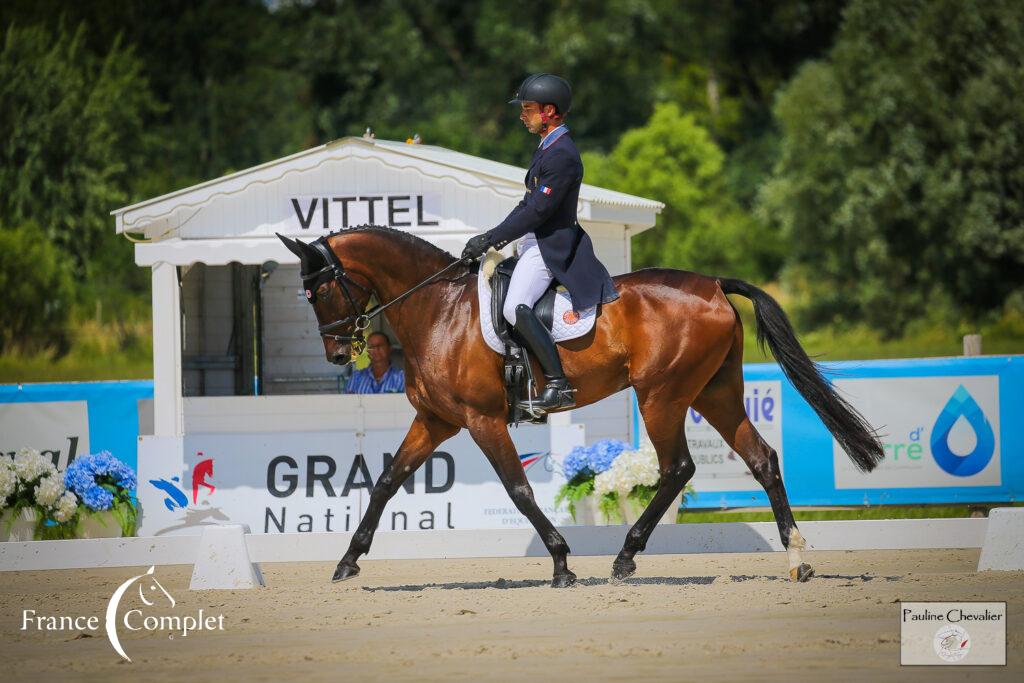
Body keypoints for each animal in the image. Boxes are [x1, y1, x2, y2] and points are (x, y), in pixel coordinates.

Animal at [276, 225, 884, 589]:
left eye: (319, 291)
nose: (337, 352)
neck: (438, 310)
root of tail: (713, 284)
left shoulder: (481, 420)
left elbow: (518, 490)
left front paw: (562, 563)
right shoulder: (436, 421)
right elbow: (384, 482)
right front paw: (347, 560)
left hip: (662, 395)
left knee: (677, 467)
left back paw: (625, 557)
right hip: (714, 392)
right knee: (761, 460)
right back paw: (797, 558)